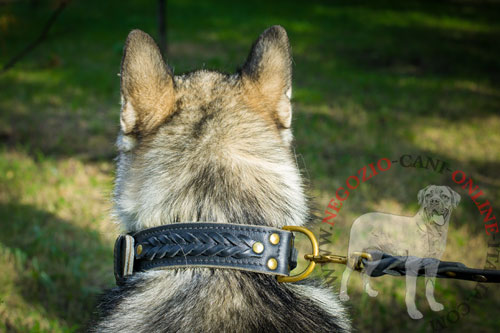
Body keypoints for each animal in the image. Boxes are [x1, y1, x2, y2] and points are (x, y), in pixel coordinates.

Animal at [340, 185, 460, 318]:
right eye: (428, 195)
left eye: (444, 196)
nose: (434, 201)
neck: (432, 231)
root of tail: (359, 218)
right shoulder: (413, 264)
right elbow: (411, 292)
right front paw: (413, 312)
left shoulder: (433, 264)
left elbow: (430, 288)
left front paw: (433, 305)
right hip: (354, 253)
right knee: (345, 274)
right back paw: (343, 295)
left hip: (375, 257)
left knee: (364, 273)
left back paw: (370, 292)